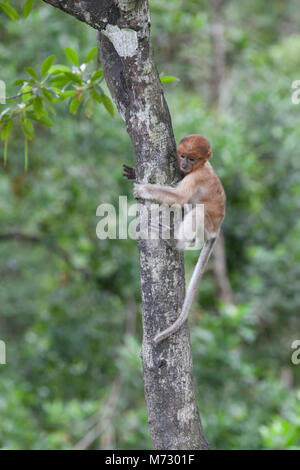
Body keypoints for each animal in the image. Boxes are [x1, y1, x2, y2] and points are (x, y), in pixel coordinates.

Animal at [122, 134, 225, 344]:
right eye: (182, 155)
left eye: (192, 158)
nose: (184, 164)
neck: (202, 166)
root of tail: (217, 230)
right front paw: (134, 172)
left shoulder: (196, 177)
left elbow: (179, 196)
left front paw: (143, 189)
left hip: (208, 224)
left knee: (197, 212)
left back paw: (175, 240)